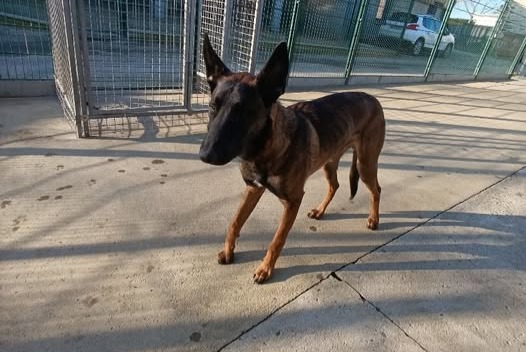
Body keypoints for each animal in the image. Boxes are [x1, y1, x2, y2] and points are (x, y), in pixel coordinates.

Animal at [200, 33, 386, 284]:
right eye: (212, 106)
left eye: (243, 112)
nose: (205, 155)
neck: (265, 149)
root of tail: (374, 99)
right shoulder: (252, 188)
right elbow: (235, 222)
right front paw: (228, 251)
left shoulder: (292, 201)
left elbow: (277, 240)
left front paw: (265, 269)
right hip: (329, 162)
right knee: (335, 185)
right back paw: (320, 211)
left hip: (365, 164)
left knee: (376, 189)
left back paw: (374, 219)